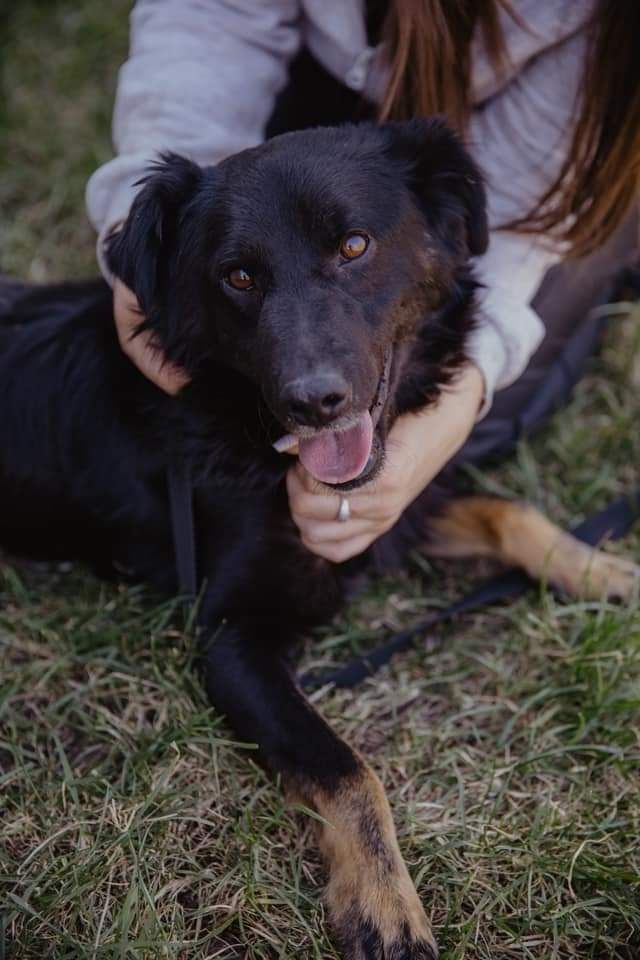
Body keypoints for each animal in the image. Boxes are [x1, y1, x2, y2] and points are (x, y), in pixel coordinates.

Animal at [2, 122, 636, 960]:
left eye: (355, 244)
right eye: (237, 275)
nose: (313, 401)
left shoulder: (396, 512)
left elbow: (508, 512)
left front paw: (603, 570)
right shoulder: (230, 636)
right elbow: (346, 769)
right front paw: (385, 905)